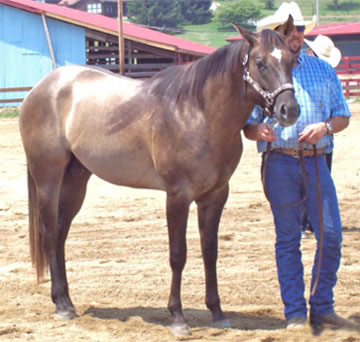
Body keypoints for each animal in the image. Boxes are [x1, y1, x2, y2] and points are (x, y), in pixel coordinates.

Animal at [19, 19, 300, 336]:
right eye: (260, 62)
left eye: (292, 60)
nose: (289, 110)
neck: (198, 112)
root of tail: (39, 89)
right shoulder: (177, 196)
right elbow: (178, 255)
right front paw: (177, 318)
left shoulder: (215, 196)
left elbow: (210, 251)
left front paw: (217, 312)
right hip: (48, 180)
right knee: (50, 233)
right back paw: (61, 306)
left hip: (76, 180)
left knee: (60, 235)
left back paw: (67, 301)